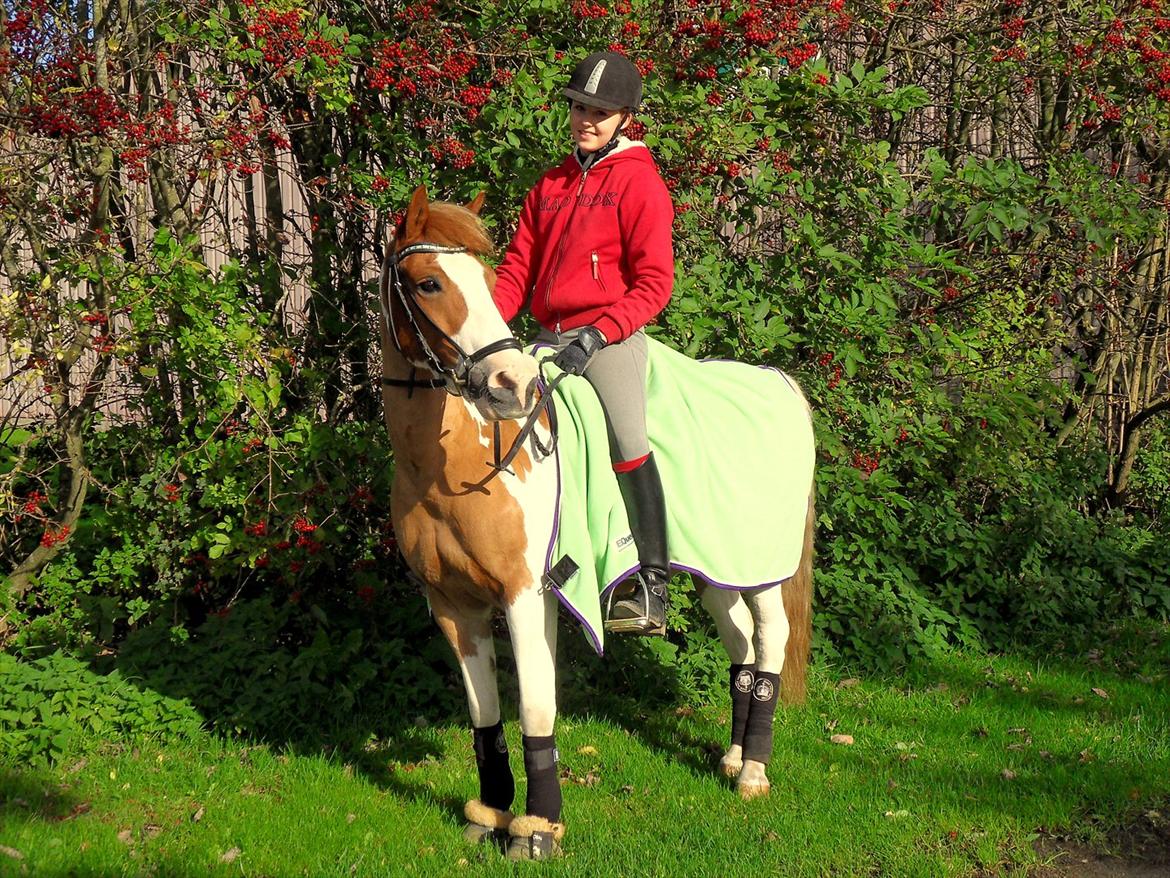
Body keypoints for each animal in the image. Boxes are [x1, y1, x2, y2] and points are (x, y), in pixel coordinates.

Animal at [378, 185, 815, 860]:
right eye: (428, 283)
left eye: (484, 279)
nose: (511, 385)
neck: (454, 467)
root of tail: (778, 382)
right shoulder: (454, 606)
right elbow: (485, 714)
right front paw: (489, 812)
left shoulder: (529, 595)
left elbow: (536, 707)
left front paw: (538, 827)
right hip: (714, 568)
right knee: (739, 639)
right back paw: (733, 756)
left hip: (761, 568)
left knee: (769, 639)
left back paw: (754, 772)